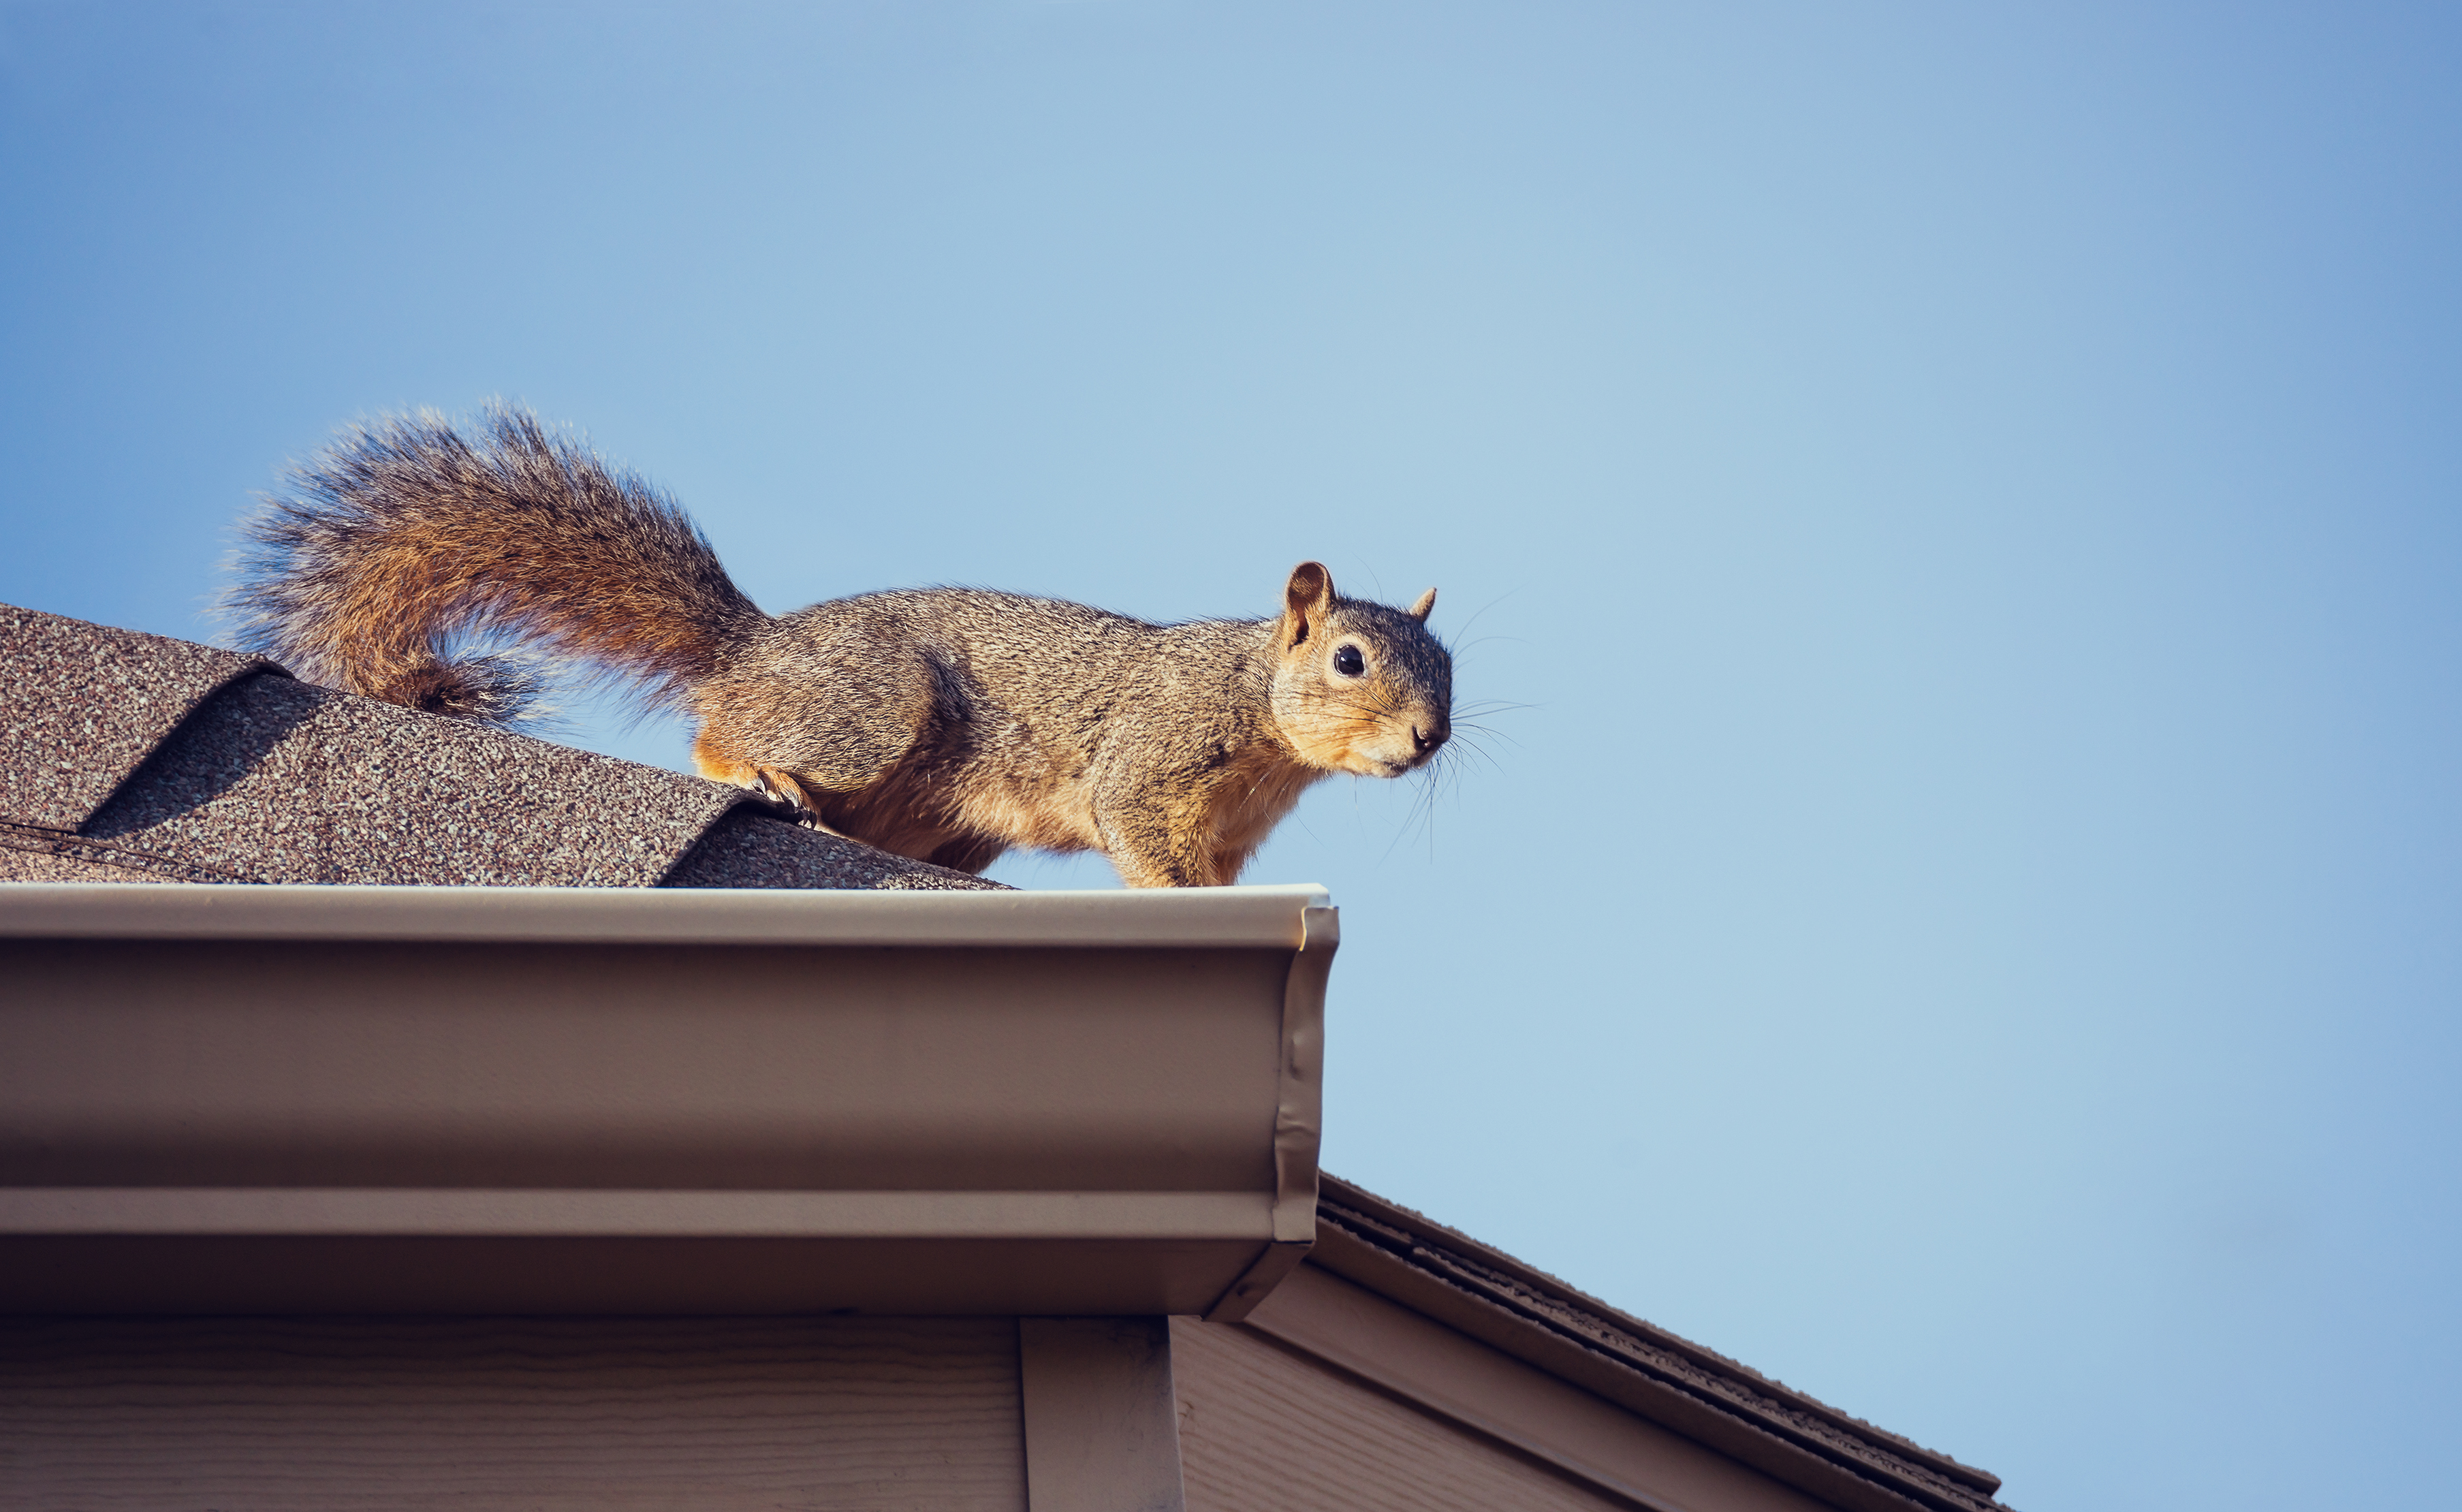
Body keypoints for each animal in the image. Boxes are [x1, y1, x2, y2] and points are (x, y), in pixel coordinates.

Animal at [226, 404, 1453, 887]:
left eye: (1449, 670)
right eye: (1349, 660)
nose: (1429, 738)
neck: (1260, 711)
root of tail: (758, 645)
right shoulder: (1153, 754)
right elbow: (1137, 831)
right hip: (870, 714)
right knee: (719, 732)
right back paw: (759, 771)